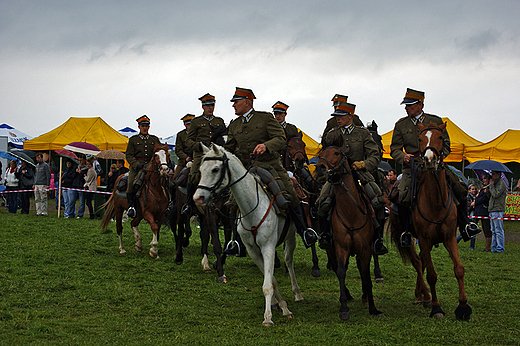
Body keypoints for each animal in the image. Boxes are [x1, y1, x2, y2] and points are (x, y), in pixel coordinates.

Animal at [193, 144, 302, 328]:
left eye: (215, 169)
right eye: (201, 169)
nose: (198, 198)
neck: (251, 206)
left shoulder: (268, 247)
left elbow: (268, 283)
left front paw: (268, 317)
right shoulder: (253, 250)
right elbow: (270, 279)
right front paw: (279, 305)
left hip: (291, 236)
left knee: (289, 261)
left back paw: (297, 293)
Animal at [314, 147, 384, 322]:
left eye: (336, 153)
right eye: (321, 153)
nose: (320, 168)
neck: (350, 212)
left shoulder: (365, 249)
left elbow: (366, 276)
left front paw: (373, 308)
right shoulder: (341, 247)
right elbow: (340, 271)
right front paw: (344, 308)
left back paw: (365, 297)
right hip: (331, 248)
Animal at [390, 122, 472, 322]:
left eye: (441, 137)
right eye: (420, 138)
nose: (429, 160)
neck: (435, 201)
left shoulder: (449, 238)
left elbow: (459, 269)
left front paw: (463, 306)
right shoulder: (425, 240)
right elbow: (432, 275)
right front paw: (436, 308)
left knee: (421, 261)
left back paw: (422, 295)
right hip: (409, 239)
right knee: (417, 262)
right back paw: (426, 296)